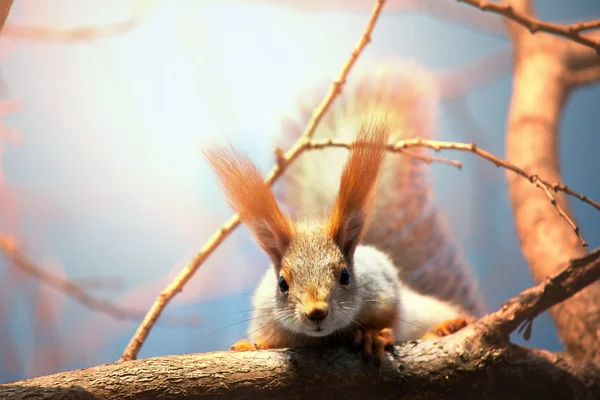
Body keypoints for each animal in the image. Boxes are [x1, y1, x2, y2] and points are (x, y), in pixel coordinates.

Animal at [204, 61, 486, 364]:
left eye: (345, 276)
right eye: (282, 283)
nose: (316, 312)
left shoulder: (383, 286)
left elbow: (389, 314)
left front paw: (371, 335)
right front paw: (251, 346)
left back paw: (448, 326)